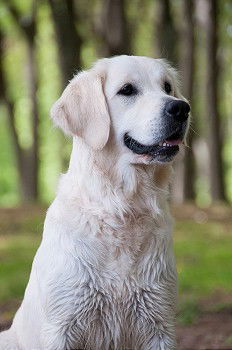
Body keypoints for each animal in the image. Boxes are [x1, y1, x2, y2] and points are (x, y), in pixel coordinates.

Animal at [0, 56, 189, 348]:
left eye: (167, 87)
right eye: (127, 90)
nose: (181, 108)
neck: (121, 207)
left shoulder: (159, 324)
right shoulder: (62, 325)